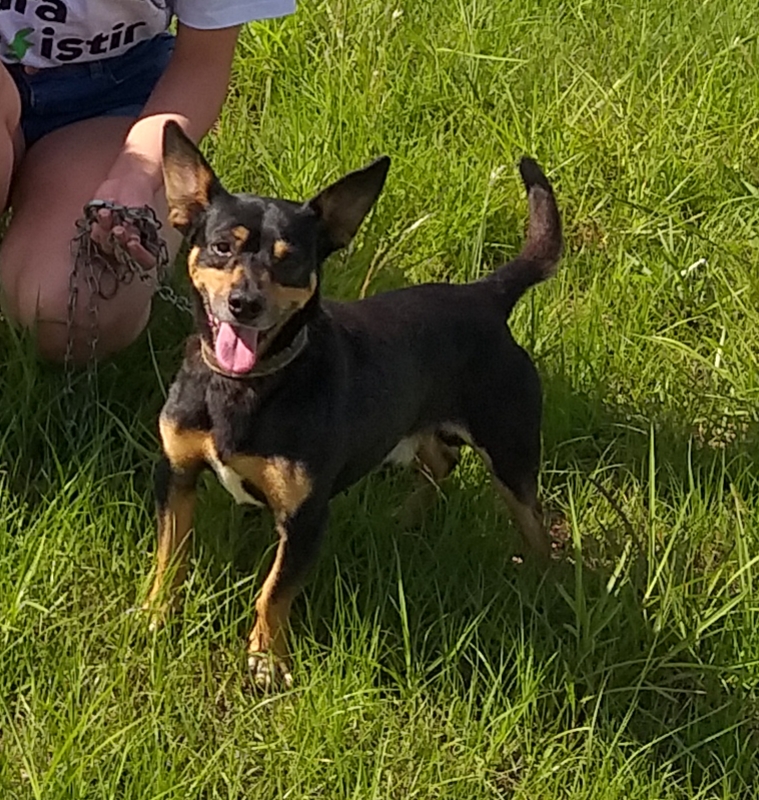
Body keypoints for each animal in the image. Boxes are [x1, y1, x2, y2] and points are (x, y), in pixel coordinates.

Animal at [147, 122, 564, 692]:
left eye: (291, 260)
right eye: (220, 247)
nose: (244, 303)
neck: (245, 385)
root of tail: (486, 295)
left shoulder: (304, 517)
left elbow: (273, 593)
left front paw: (266, 660)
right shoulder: (178, 474)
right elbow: (170, 555)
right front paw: (154, 615)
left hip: (511, 450)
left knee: (534, 523)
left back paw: (543, 585)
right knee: (441, 462)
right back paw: (406, 518)